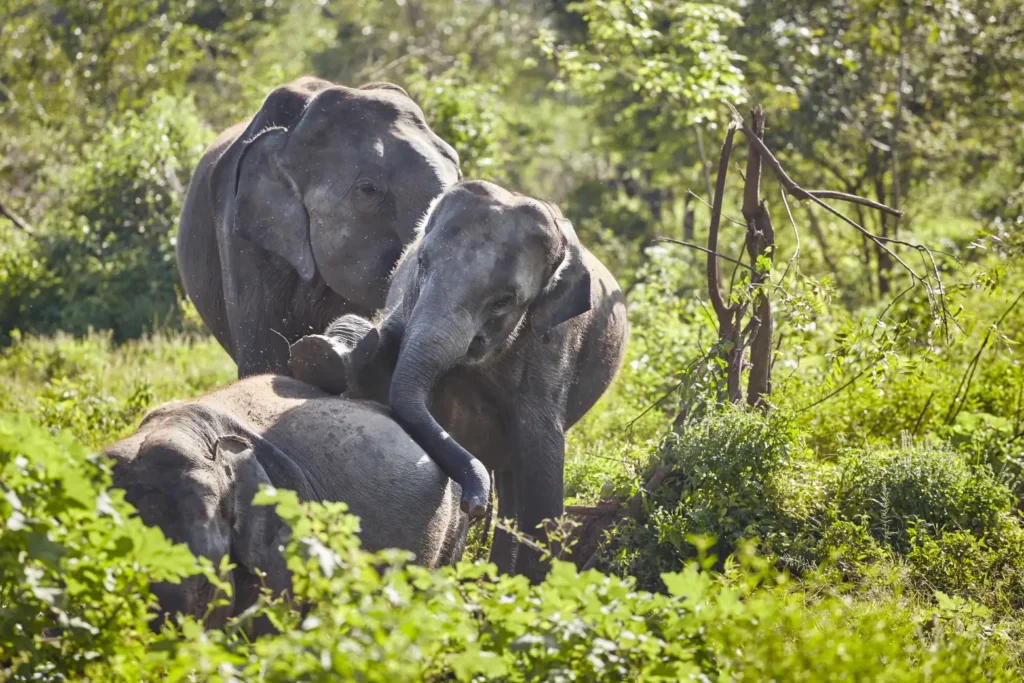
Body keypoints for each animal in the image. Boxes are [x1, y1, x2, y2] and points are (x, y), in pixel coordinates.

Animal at [288, 180, 628, 581]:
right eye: (422, 263)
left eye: (503, 301)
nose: (474, 505)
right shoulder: (405, 301)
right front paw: (324, 353)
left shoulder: (552, 348)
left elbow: (542, 468)